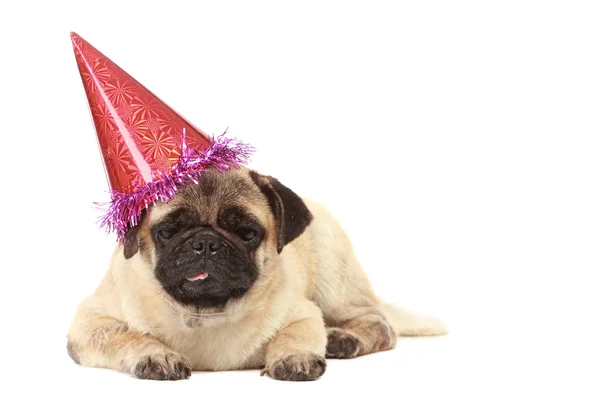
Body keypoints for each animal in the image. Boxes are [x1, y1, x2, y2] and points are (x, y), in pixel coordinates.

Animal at [68, 167, 448, 380]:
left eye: (247, 233)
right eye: (169, 231)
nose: (205, 243)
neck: (205, 313)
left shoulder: (302, 312)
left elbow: (295, 333)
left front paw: (294, 357)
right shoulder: (90, 322)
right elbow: (126, 335)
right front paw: (156, 353)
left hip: (334, 282)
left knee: (380, 325)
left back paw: (343, 339)